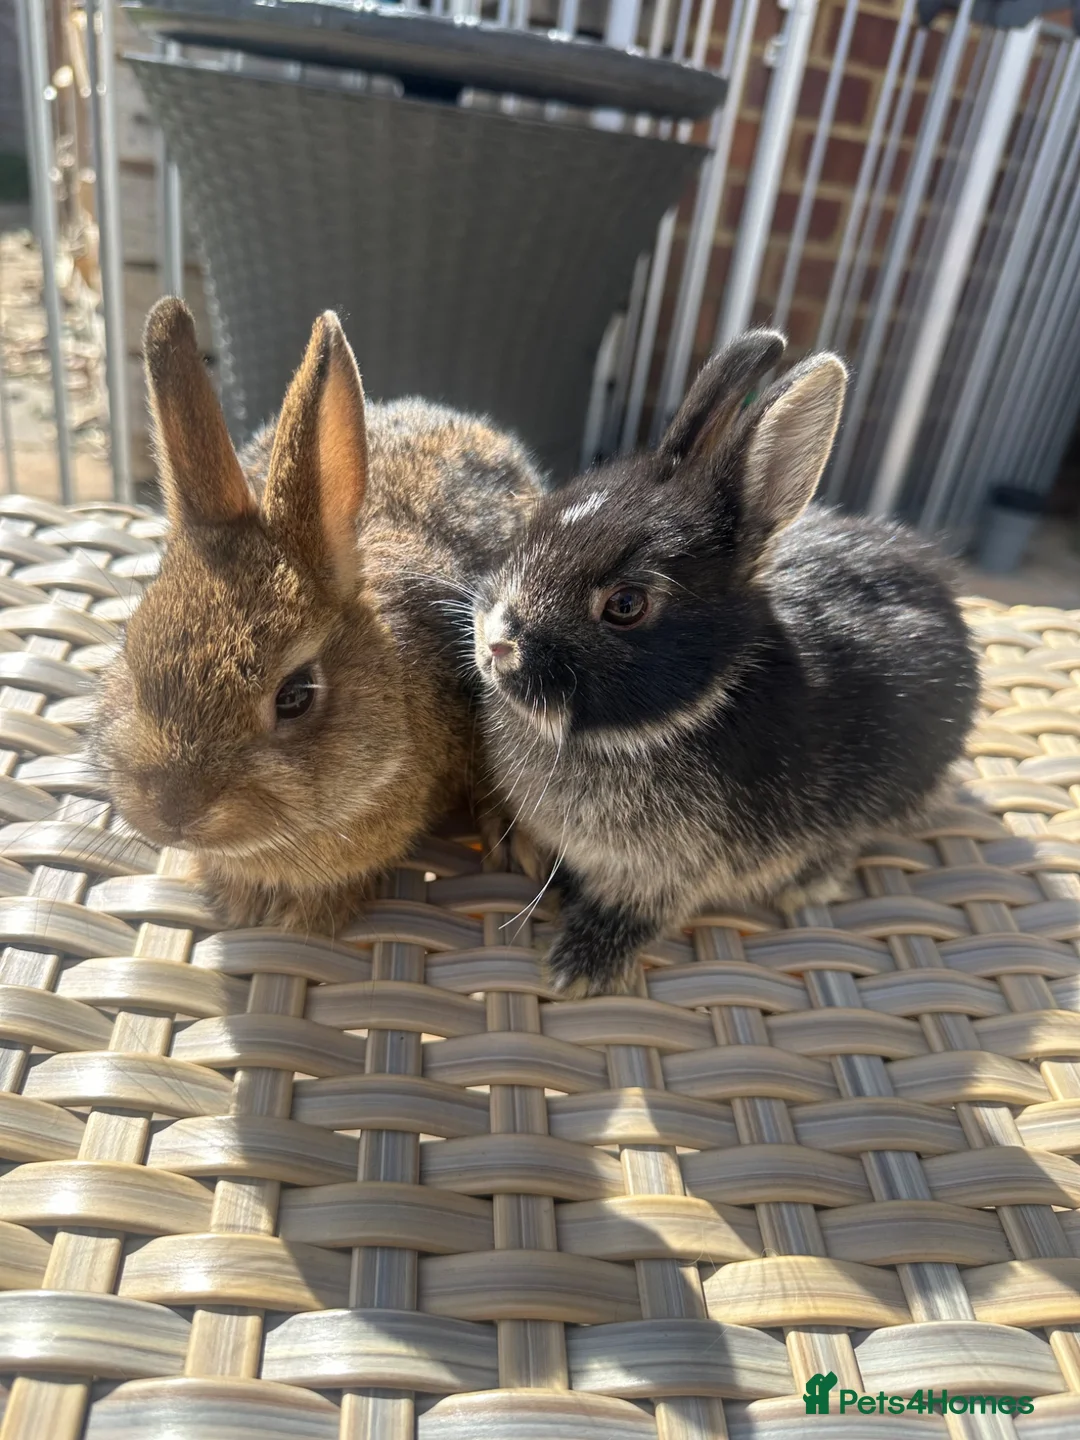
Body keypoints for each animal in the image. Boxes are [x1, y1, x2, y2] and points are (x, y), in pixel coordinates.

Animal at [472, 329, 979, 996]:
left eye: (626, 605)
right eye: (534, 527)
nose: (496, 641)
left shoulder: (672, 872)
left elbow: (640, 907)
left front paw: (580, 968)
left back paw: (803, 887)